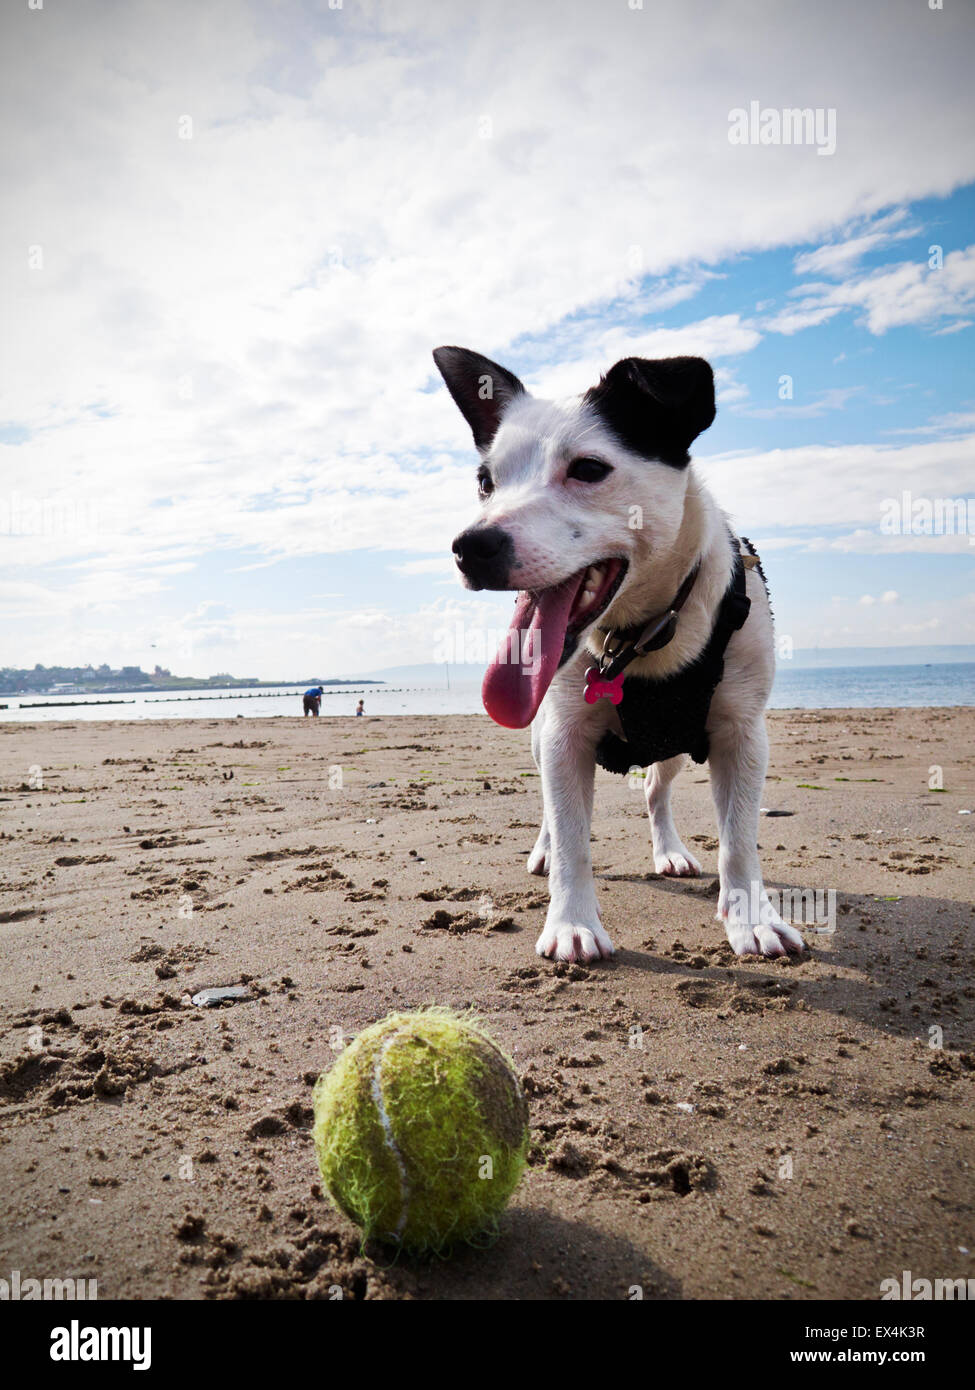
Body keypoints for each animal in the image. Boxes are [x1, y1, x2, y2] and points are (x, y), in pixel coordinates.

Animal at [433, 341, 806, 961]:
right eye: (486, 481)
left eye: (588, 469)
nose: (470, 545)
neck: (637, 635)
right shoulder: (562, 736)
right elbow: (572, 839)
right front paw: (571, 922)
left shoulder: (742, 734)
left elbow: (739, 839)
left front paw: (751, 918)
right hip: (539, 737)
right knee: (552, 810)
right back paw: (544, 849)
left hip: (678, 742)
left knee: (657, 789)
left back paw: (669, 850)